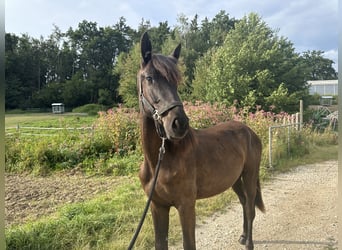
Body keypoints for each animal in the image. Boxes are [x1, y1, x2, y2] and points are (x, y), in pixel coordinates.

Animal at [136, 31, 264, 250]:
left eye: (176, 81)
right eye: (150, 78)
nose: (179, 123)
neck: (159, 163)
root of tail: (250, 132)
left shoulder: (186, 206)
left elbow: (189, 244)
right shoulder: (157, 207)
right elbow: (160, 243)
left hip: (249, 175)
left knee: (250, 208)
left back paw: (249, 243)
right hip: (235, 179)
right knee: (244, 203)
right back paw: (243, 236)